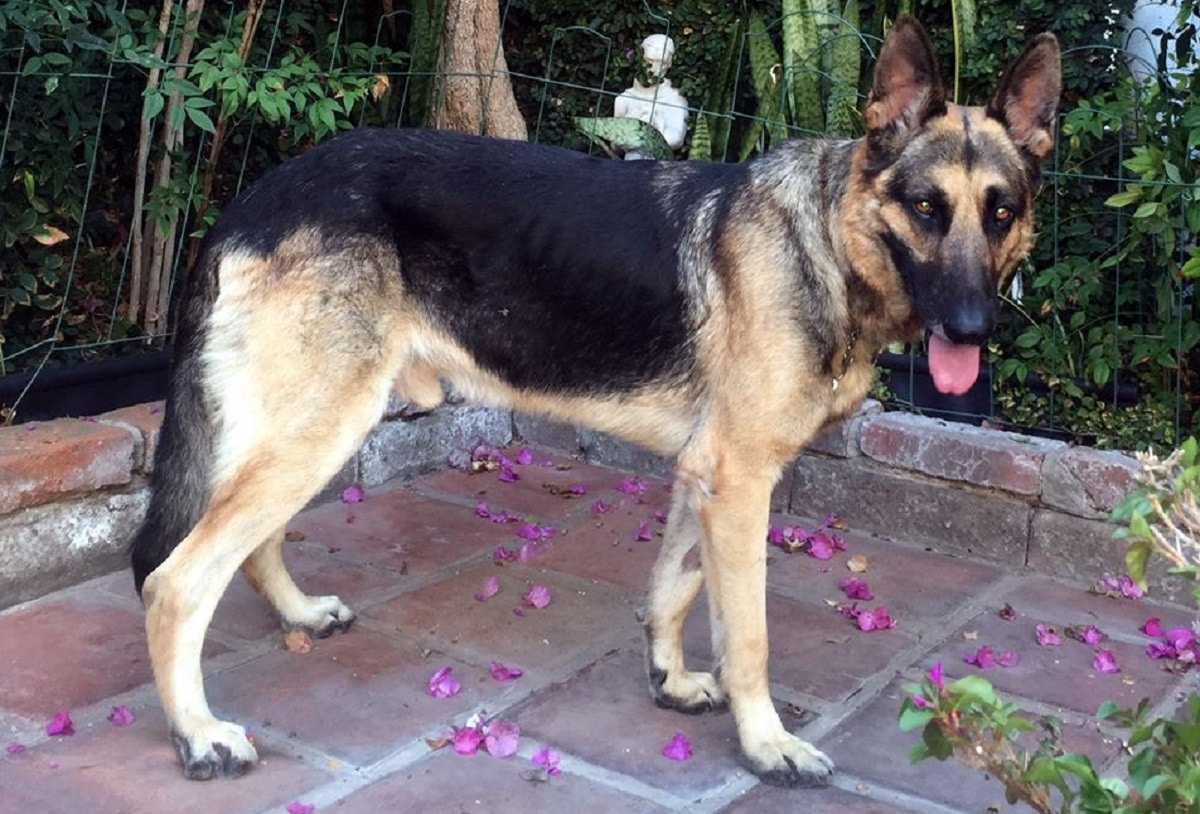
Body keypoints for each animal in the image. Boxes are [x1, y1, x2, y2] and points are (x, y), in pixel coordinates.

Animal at [131, 17, 1060, 792]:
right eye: (927, 208)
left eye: (1002, 212)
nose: (973, 331)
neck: (828, 237)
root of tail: (254, 200)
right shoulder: (741, 484)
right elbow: (749, 636)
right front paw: (766, 745)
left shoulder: (706, 477)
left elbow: (675, 588)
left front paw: (672, 678)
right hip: (319, 427)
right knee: (178, 580)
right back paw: (199, 734)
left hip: (313, 429)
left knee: (246, 543)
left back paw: (295, 615)